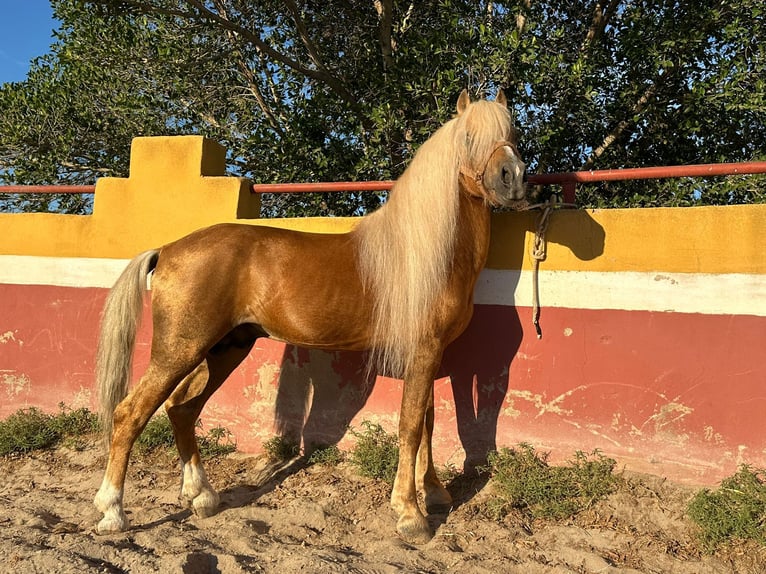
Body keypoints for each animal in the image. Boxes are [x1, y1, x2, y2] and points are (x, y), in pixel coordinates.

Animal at [91, 90, 528, 544]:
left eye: (513, 133)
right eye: (469, 137)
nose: (513, 177)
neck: (425, 254)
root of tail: (168, 249)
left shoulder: (427, 354)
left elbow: (426, 421)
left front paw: (435, 495)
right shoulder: (425, 352)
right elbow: (411, 424)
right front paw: (411, 515)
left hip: (224, 350)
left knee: (182, 410)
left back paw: (203, 497)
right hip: (178, 351)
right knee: (130, 414)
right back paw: (113, 513)